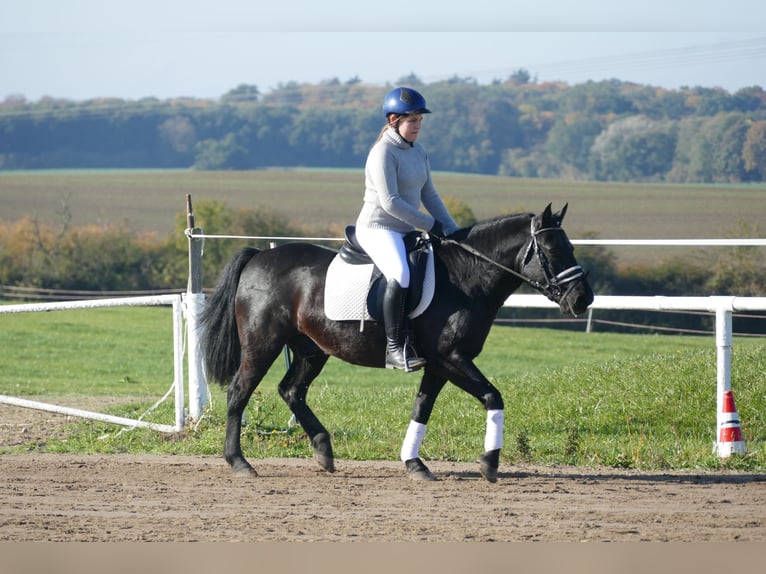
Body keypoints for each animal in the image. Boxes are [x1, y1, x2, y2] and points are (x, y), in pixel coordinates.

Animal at [201, 205, 596, 484]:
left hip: (312, 350)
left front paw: (414, 463)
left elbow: (422, 408)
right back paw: (239, 462)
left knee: (291, 391)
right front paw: (489, 462)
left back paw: (324, 450)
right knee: (239, 392)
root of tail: (259, 256)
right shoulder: (453, 358)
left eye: (570, 246)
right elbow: (492, 396)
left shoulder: (439, 364)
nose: (583, 299)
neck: (466, 277)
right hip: (263, 345)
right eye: (551, 249)